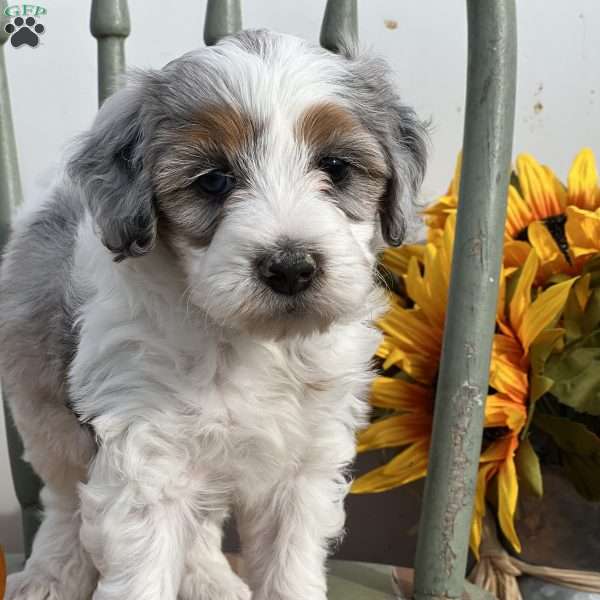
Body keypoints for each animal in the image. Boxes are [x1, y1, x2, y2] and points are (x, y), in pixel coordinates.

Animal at [0, 30, 426, 600]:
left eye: (335, 168)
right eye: (213, 180)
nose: (290, 267)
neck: (251, 342)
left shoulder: (303, 469)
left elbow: (289, 571)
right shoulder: (146, 457)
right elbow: (140, 569)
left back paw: (210, 578)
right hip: (44, 407)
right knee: (64, 496)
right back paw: (50, 573)